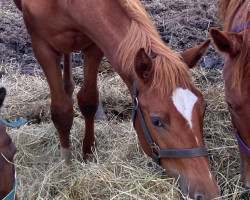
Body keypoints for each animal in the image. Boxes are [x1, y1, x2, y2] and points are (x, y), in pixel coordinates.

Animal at [14, 0, 221, 198]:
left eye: (203, 109)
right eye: (156, 121)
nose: (209, 192)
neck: (65, 5)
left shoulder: (94, 45)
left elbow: (88, 100)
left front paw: (88, 153)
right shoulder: (42, 47)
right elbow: (61, 112)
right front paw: (67, 165)